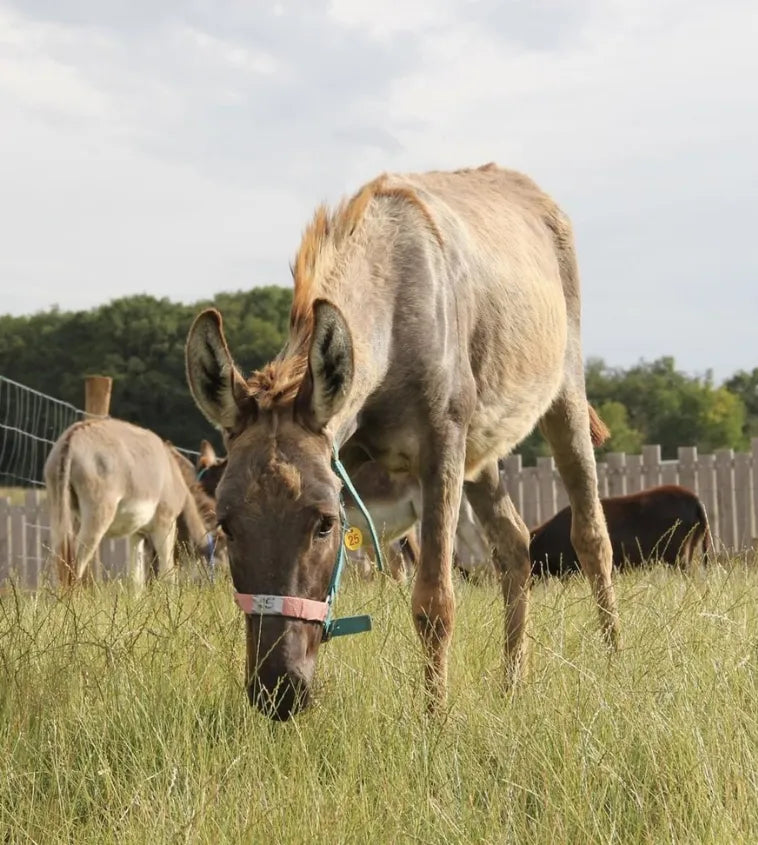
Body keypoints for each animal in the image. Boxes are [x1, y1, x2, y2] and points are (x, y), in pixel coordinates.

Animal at [44, 417, 214, 587]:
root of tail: (72, 438)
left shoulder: (137, 534)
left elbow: (136, 580)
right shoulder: (166, 523)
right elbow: (167, 574)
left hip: (58, 508)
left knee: (60, 561)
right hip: (98, 512)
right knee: (74, 567)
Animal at [185, 162, 619, 719]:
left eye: (325, 524)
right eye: (226, 525)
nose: (279, 693)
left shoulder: (440, 447)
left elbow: (435, 601)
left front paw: (436, 720)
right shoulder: (347, 456)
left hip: (563, 395)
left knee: (592, 536)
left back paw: (614, 667)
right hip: (482, 455)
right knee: (515, 544)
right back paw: (511, 685)